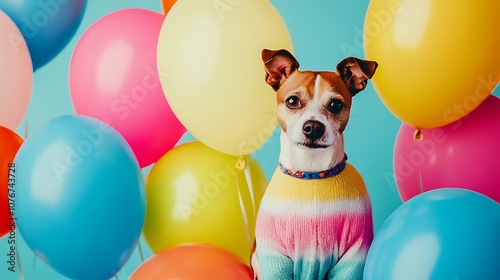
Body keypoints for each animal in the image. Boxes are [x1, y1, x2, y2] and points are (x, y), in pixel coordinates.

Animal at [252, 49, 376, 278]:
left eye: (335, 104)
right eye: (292, 101)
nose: (313, 127)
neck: (312, 174)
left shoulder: (353, 257)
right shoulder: (274, 257)